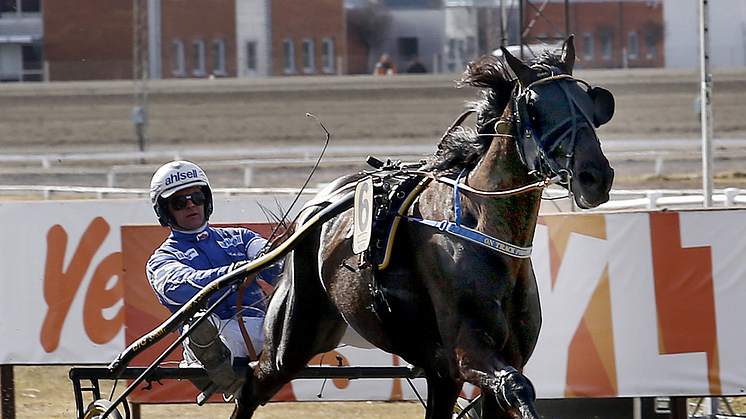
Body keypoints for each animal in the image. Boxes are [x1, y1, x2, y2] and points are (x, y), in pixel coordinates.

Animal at [234, 36, 616, 419]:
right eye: (535, 107)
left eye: (589, 102)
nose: (595, 176)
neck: (485, 231)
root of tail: (318, 204)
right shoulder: (468, 351)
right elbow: (515, 385)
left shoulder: (487, 360)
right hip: (293, 340)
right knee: (251, 388)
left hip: (431, 370)